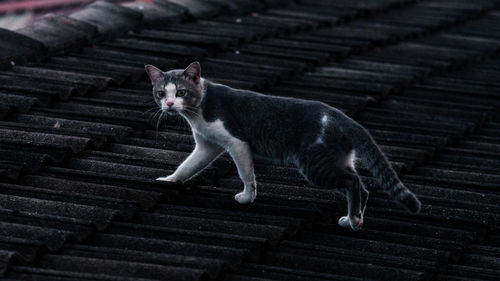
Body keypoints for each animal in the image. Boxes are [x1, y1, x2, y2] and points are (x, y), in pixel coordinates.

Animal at [146, 61, 422, 230]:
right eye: (161, 94)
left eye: (181, 93)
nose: (169, 105)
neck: (198, 111)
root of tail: (343, 118)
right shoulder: (207, 146)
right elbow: (188, 165)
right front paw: (170, 180)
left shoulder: (236, 142)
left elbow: (245, 173)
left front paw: (247, 196)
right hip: (337, 158)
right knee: (361, 186)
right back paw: (352, 219)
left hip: (315, 164)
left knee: (353, 182)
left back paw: (353, 220)